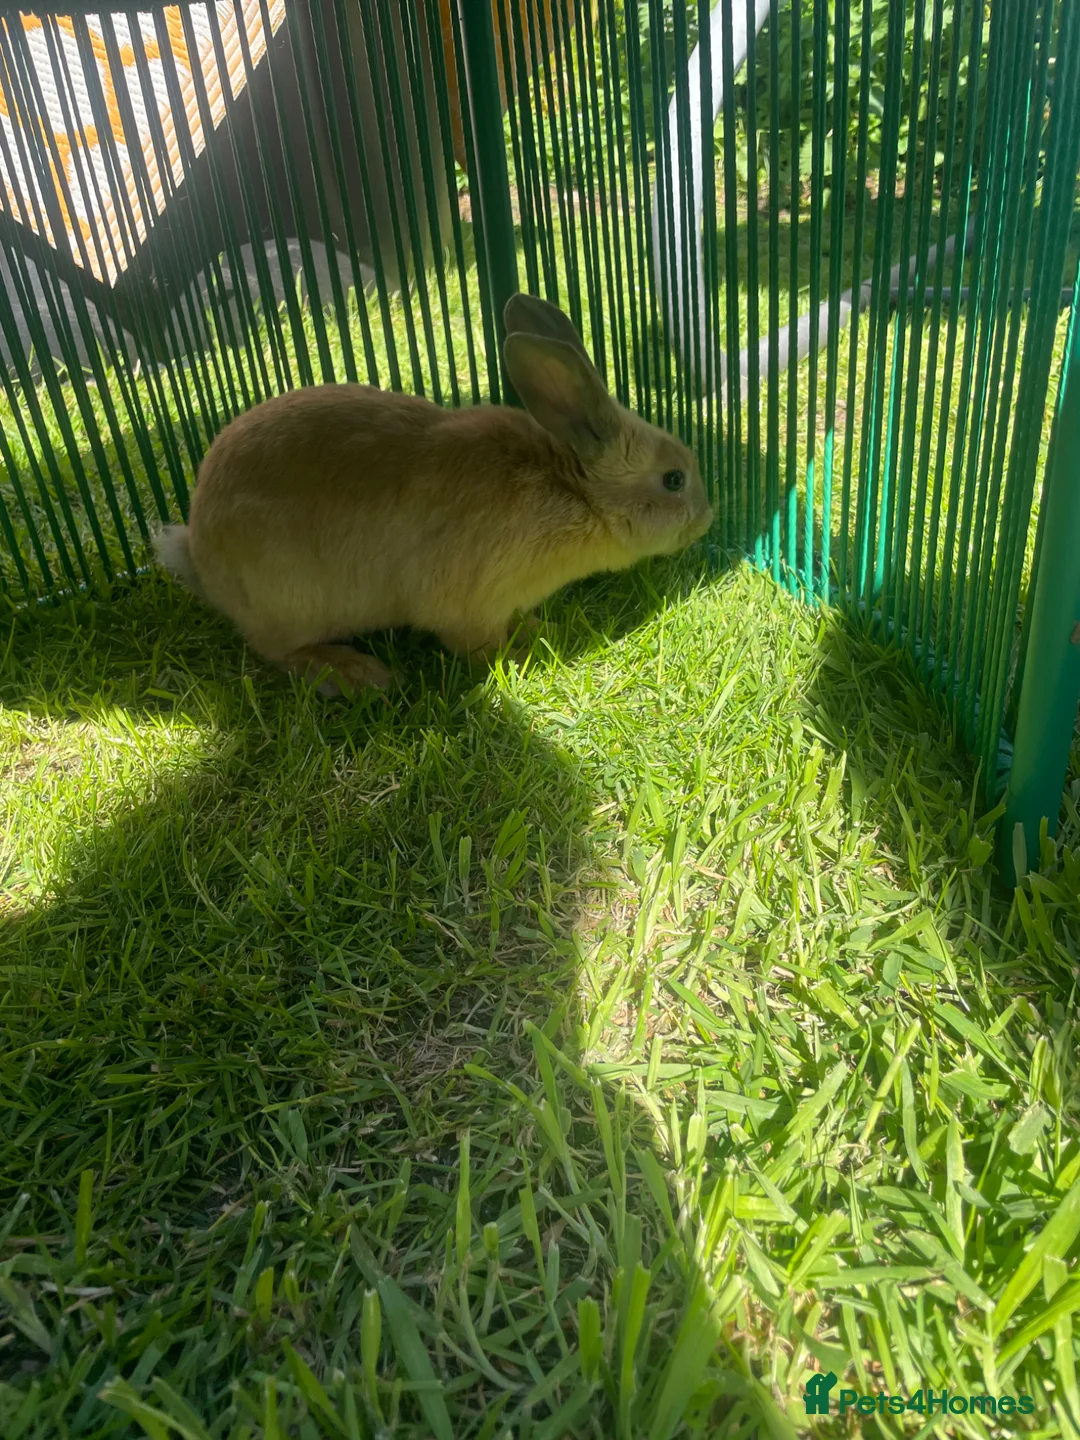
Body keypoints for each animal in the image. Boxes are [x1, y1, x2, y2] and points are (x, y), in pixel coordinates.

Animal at [154, 294, 714, 695]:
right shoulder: (469, 608)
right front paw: (521, 656)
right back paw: (357, 675)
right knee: (277, 651)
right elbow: (478, 647)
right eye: (673, 479)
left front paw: (538, 630)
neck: (574, 491)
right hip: (290, 600)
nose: (707, 518)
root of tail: (199, 559)